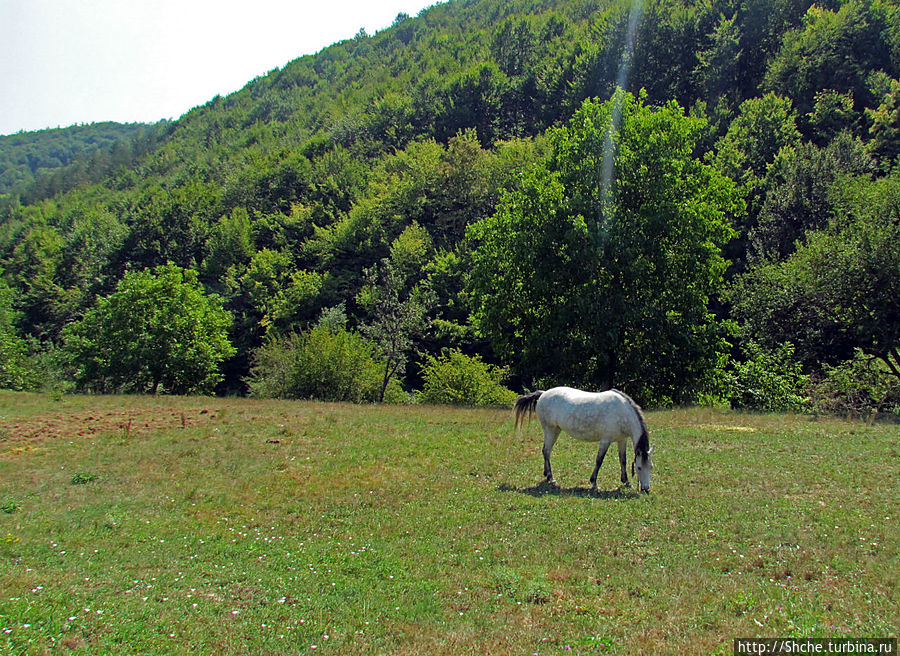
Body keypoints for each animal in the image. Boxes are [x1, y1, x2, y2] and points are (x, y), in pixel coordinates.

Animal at [512, 384, 652, 492]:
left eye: (651, 466)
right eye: (639, 467)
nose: (646, 489)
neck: (622, 412)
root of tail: (543, 393)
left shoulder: (622, 440)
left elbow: (623, 460)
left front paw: (626, 481)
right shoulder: (605, 440)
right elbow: (599, 460)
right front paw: (594, 483)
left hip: (555, 430)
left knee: (546, 451)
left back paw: (546, 475)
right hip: (550, 430)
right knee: (546, 451)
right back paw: (551, 478)